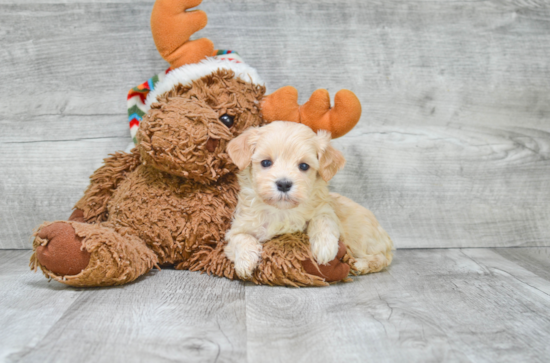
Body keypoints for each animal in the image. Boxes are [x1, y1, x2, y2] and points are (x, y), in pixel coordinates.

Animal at [223, 121, 392, 278]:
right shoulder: (238, 228)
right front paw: (245, 262)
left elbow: (323, 219)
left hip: (362, 237)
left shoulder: (325, 209)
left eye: (304, 166)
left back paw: (360, 265)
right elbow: (241, 238)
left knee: (381, 258)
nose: (284, 184)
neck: (281, 210)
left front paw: (325, 247)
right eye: (266, 162)